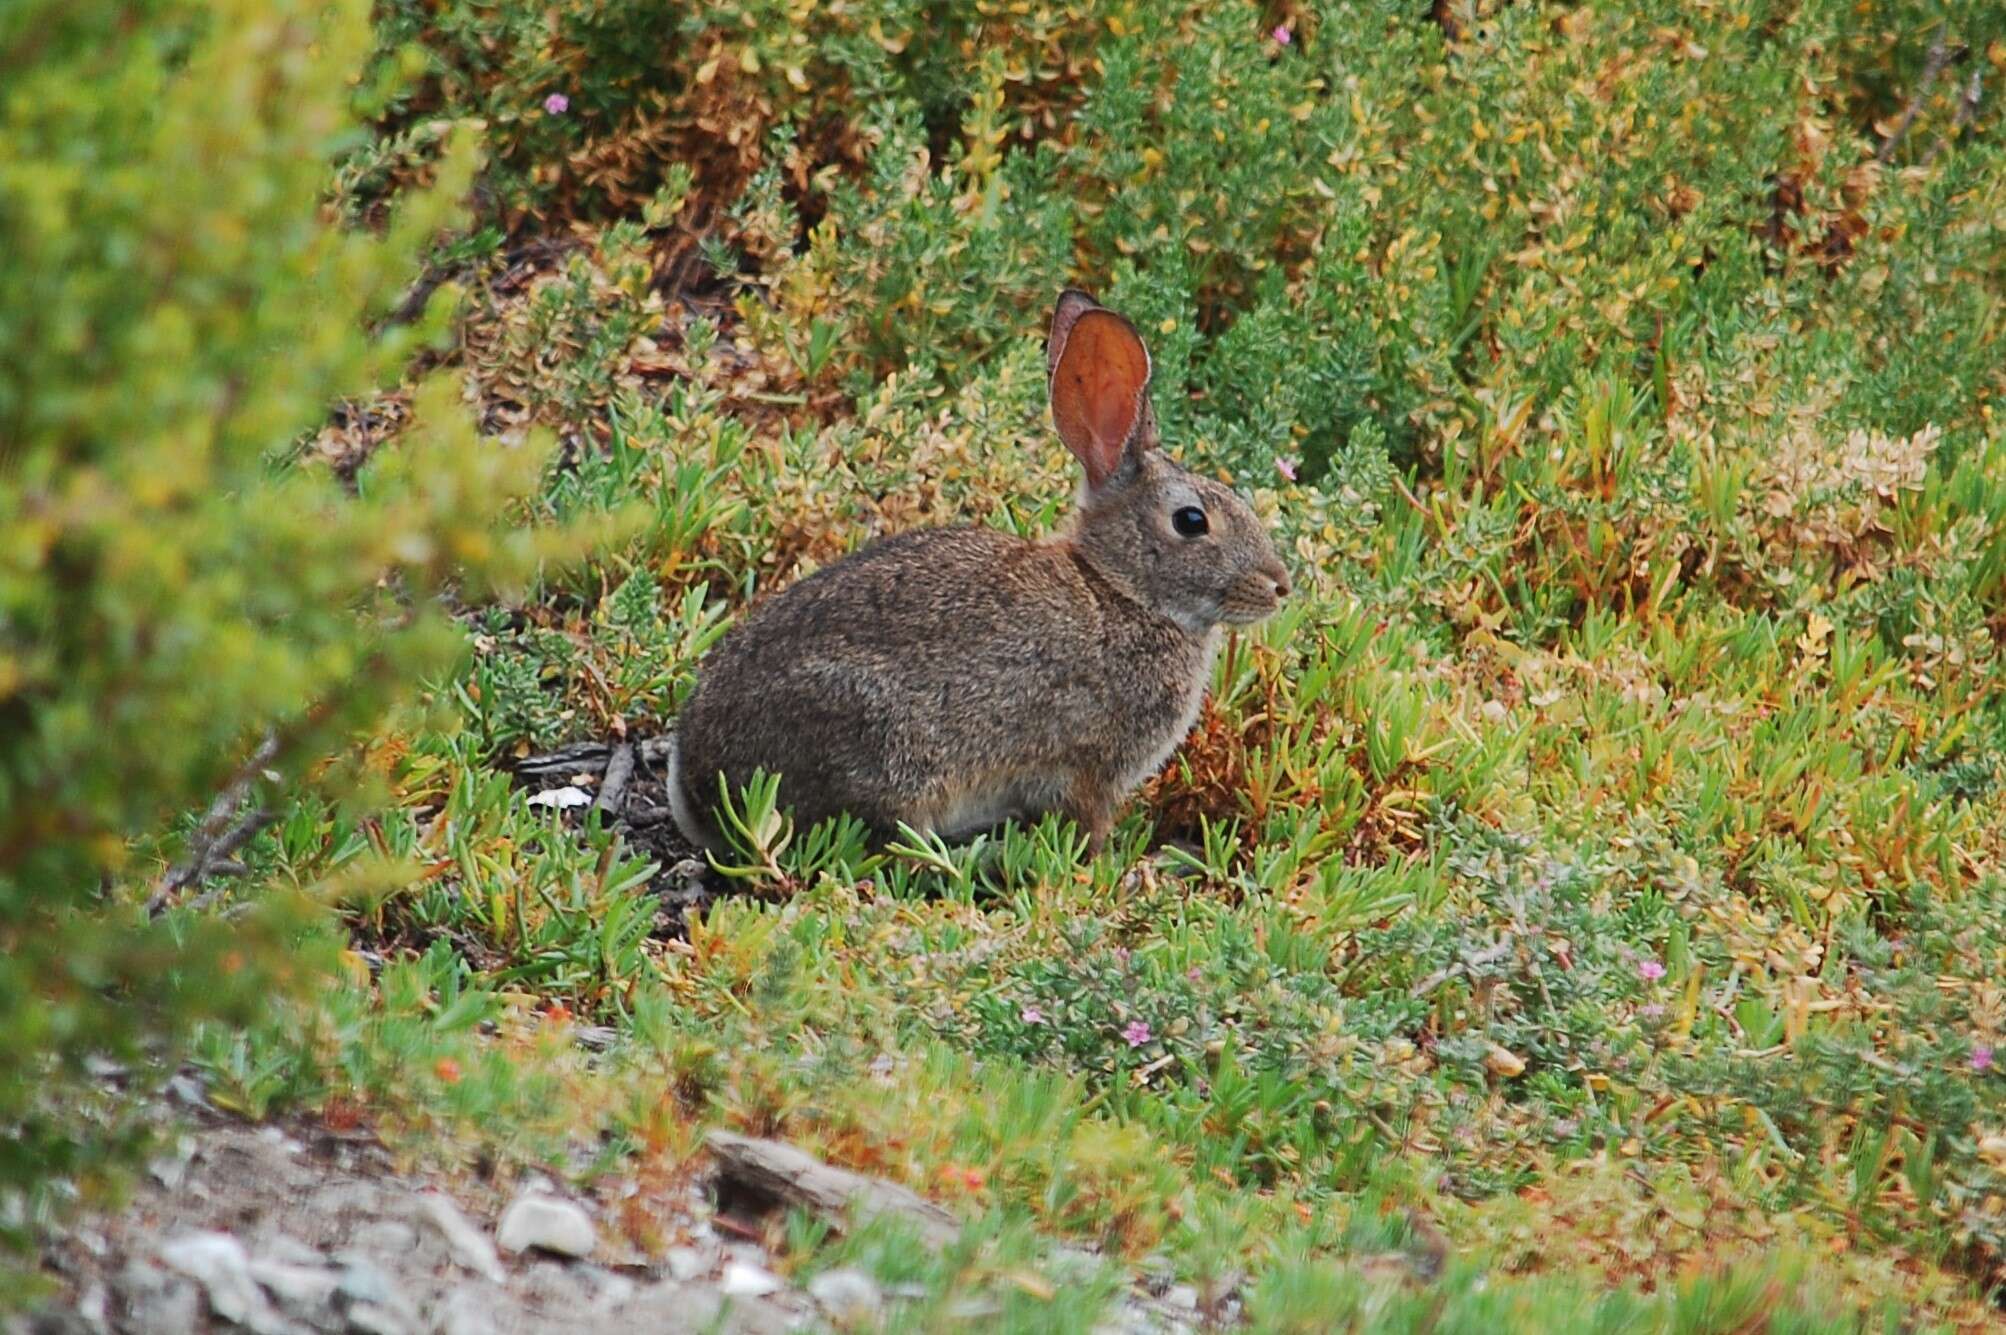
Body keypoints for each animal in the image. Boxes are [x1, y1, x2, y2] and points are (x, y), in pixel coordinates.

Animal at [674, 286, 1291, 857]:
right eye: (1191, 521)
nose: (1280, 586)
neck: (1121, 592)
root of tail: (701, 789)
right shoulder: (1091, 768)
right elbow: (1090, 826)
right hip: (885, 748)